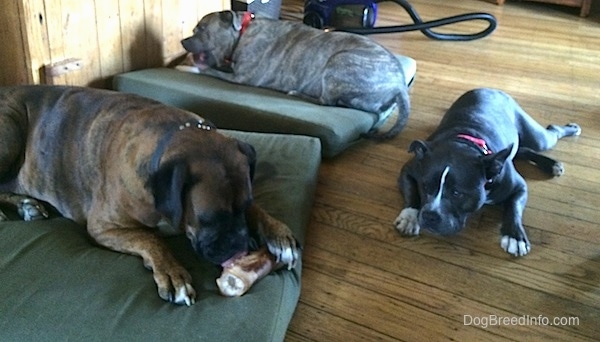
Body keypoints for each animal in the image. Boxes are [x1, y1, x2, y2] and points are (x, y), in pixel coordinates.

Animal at [0, 85, 300, 304]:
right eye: (209, 219)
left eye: (245, 205)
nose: (241, 245)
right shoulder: (104, 227)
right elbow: (150, 238)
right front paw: (173, 273)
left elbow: (258, 211)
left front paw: (278, 233)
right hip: (10, 128)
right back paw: (24, 205)